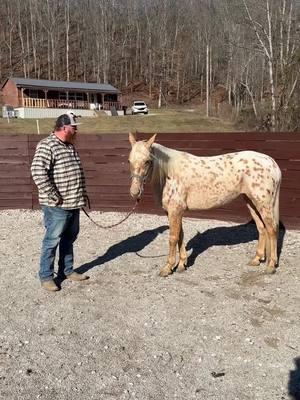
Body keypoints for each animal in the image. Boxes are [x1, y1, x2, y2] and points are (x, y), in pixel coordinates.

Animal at [128, 133, 282, 276]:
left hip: (263, 204)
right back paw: (256, 259)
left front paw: (168, 268)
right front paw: (182, 265)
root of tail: (271, 162)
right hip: (251, 201)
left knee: (272, 229)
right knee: (261, 228)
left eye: (147, 161)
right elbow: (180, 236)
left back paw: (271, 266)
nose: (135, 192)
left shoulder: (174, 211)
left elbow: (173, 238)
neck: (169, 174)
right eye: (129, 160)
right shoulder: (177, 212)